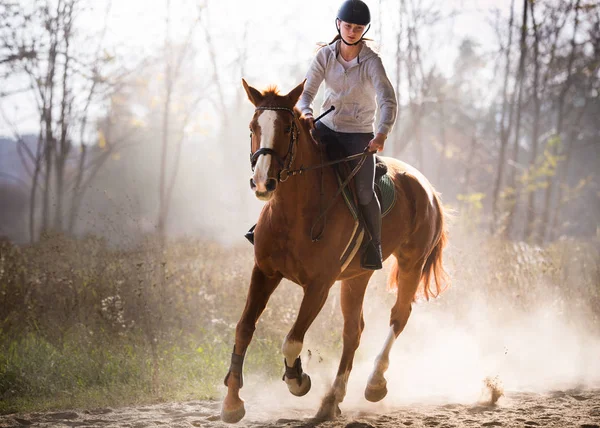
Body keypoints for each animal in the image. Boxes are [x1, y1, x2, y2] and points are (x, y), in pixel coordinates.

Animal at [223, 78, 448, 422]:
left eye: (287, 128)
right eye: (253, 127)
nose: (263, 183)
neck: (294, 212)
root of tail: (428, 189)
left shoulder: (319, 285)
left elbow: (292, 340)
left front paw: (297, 379)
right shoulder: (264, 272)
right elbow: (244, 328)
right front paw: (232, 402)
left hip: (412, 263)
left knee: (399, 316)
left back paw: (374, 383)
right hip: (357, 277)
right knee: (353, 331)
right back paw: (332, 399)